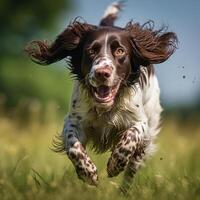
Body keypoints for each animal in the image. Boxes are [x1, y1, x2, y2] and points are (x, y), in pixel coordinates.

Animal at [24, 0, 177, 191]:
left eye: (120, 51)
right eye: (91, 50)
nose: (102, 73)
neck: (105, 108)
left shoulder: (140, 123)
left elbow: (130, 137)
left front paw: (115, 164)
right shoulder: (74, 120)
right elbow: (74, 146)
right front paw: (88, 172)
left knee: (132, 169)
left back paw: (124, 190)